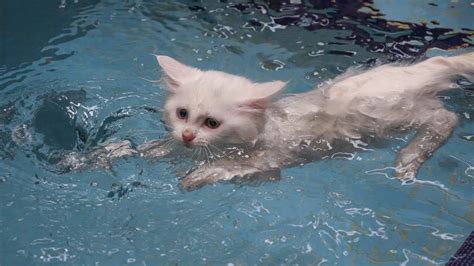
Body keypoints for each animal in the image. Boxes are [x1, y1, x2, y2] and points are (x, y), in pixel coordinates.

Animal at [61, 51, 472, 190]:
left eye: (213, 123)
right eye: (182, 114)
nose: (189, 135)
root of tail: (423, 67)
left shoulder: (266, 162)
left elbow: (226, 168)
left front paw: (197, 178)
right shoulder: (176, 147)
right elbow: (142, 150)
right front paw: (97, 155)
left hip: (399, 118)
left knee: (445, 119)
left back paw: (408, 161)